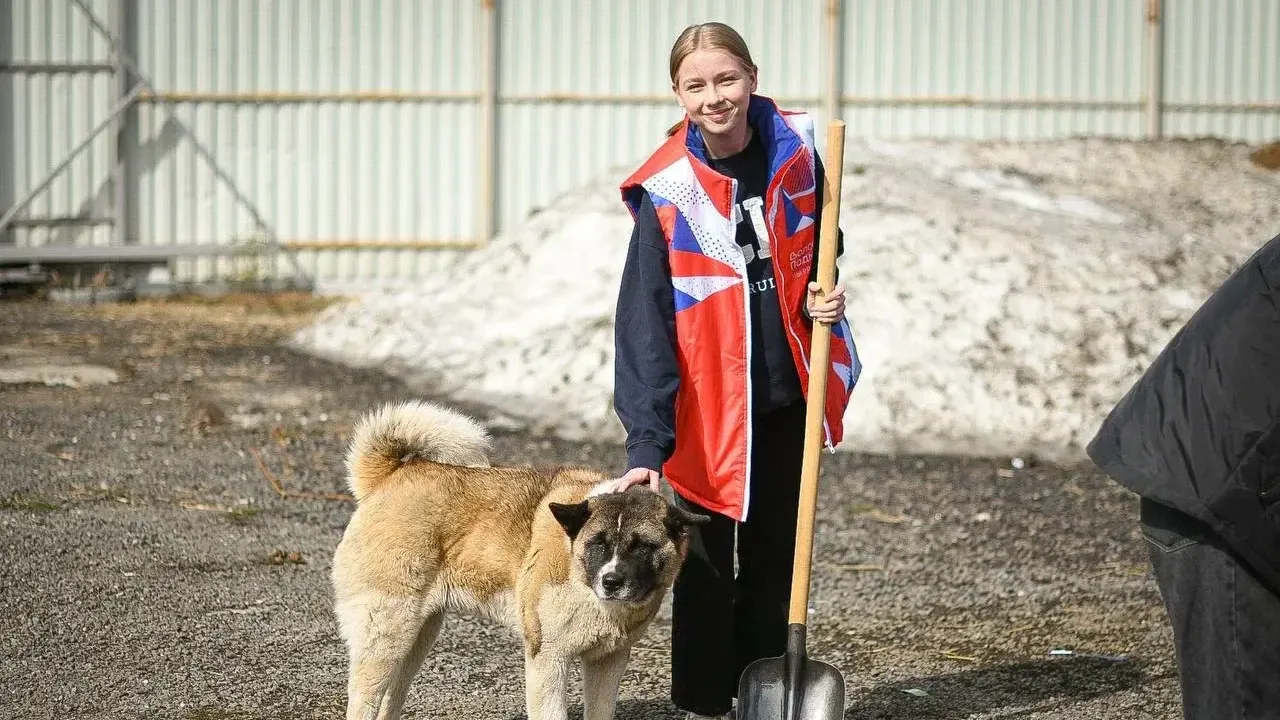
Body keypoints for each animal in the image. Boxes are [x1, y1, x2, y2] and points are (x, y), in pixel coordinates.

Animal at [331, 399, 709, 720]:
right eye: (598, 544)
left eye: (641, 546)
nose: (611, 581)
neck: (578, 570)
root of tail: (389, 478)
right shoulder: (548, 659)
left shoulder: (608, 661)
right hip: (386, 633)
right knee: (364, 698)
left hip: (415, 638)